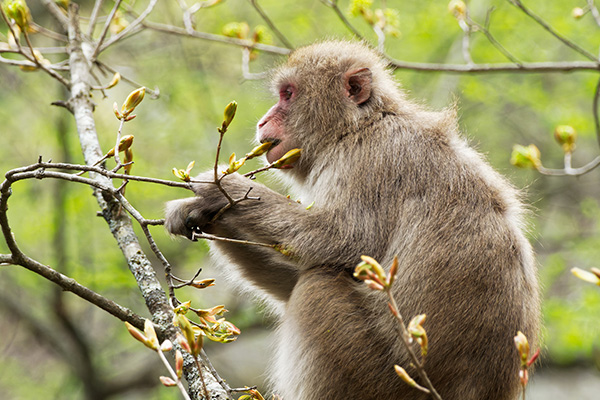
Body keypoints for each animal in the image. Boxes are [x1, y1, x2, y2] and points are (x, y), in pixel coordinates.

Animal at [166, 41, 540, 400]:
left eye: (288, 94)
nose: (263, 120)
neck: (359, 125)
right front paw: (199, 212)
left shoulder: (368, 160)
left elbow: (342, 241)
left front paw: (220, 187)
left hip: (378, 373)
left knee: (317, 287)